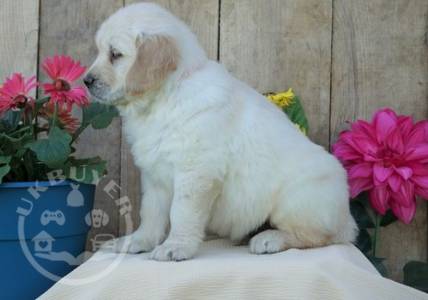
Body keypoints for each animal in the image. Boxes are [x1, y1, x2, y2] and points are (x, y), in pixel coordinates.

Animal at [84, 1, 358, 260]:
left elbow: (181, 212)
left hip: (297, 199)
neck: (165, 98)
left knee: (318, 237)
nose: (86, 81)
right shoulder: (155, 174)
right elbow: (150, 212)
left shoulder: (195, 171)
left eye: (115, 54)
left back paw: (268, 239)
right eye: (99, 51)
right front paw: (136, 242)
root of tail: (347, 220)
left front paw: (175, 246)